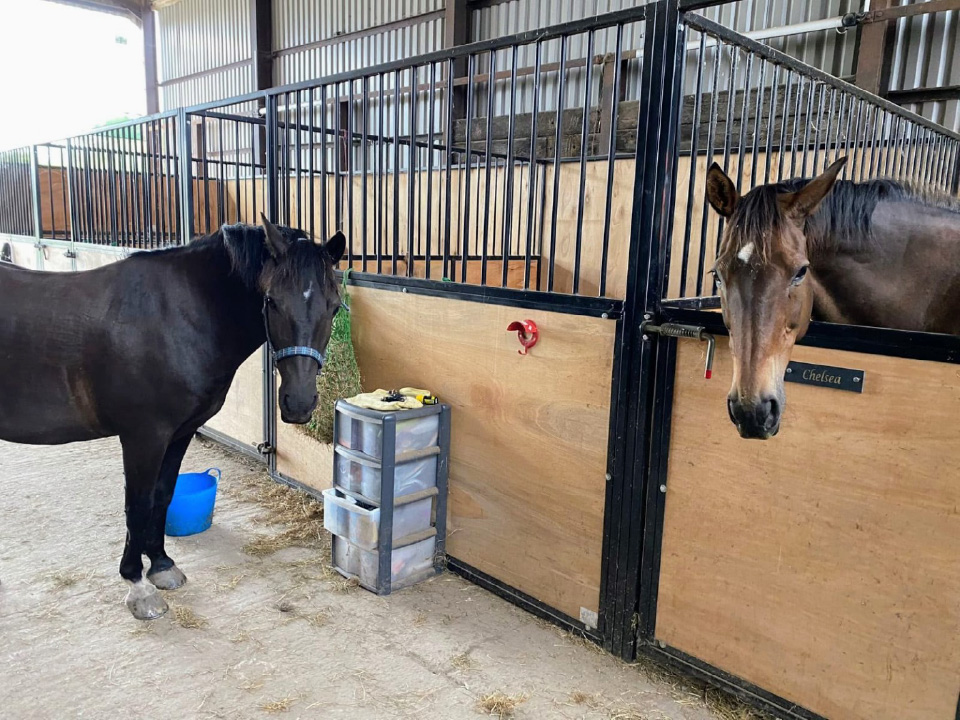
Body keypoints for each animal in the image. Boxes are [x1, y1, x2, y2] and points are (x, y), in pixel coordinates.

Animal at [0, 216, 345, 618]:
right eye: (271, 301)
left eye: (334, 307)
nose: (299, 403)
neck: (177, 316)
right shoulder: (143, 437)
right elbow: (137, 504)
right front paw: (138, 586)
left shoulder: (180, 432)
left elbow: (162, 495)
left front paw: (162, 566)